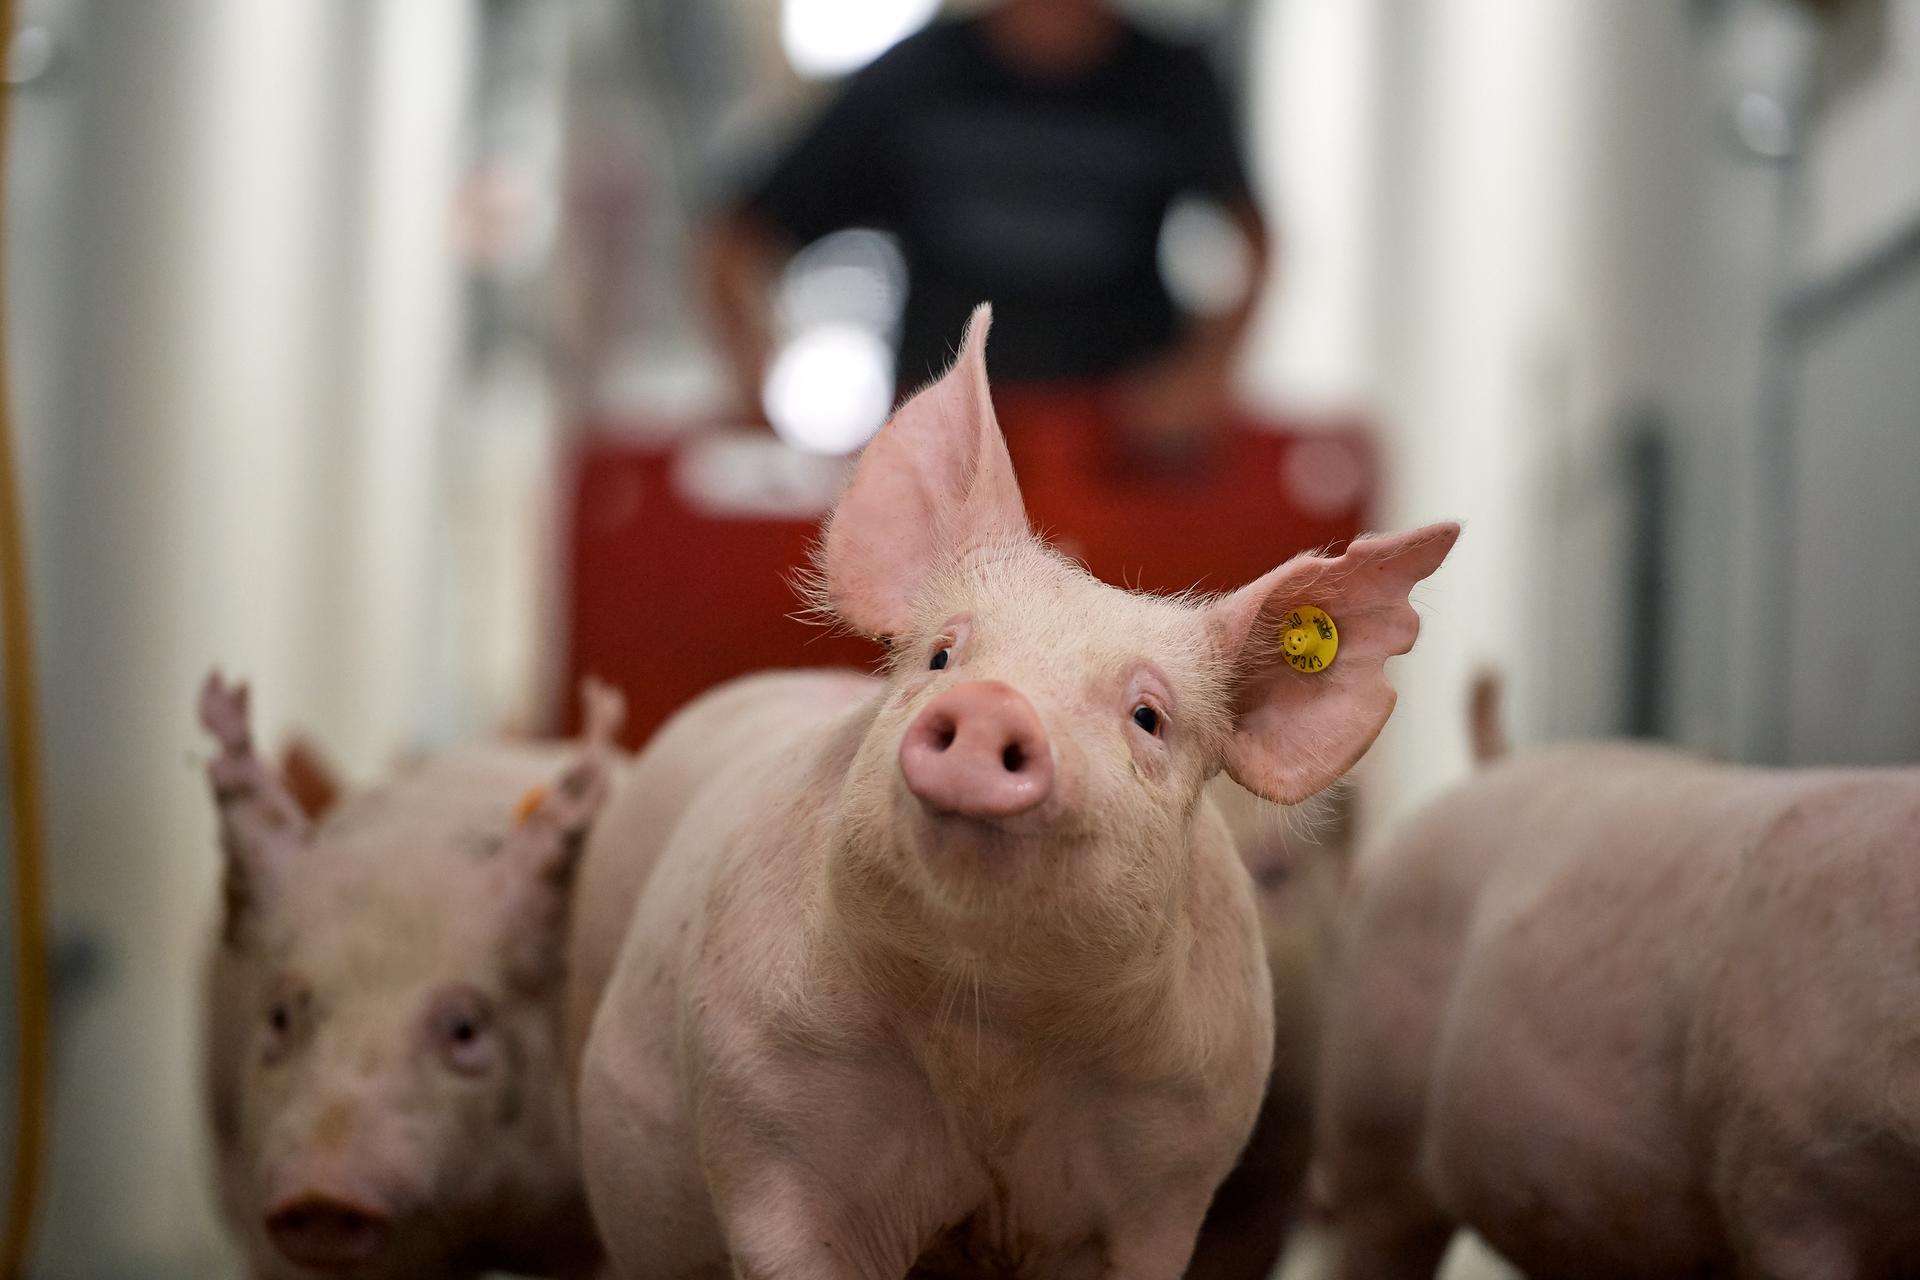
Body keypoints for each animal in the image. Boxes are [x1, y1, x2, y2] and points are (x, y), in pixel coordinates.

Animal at [566, 304, 1458, 1280]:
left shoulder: (1173, 1170)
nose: (994, 702)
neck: (989, 1026)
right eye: (942, 655)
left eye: (1148, 717)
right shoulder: (766, 1120)